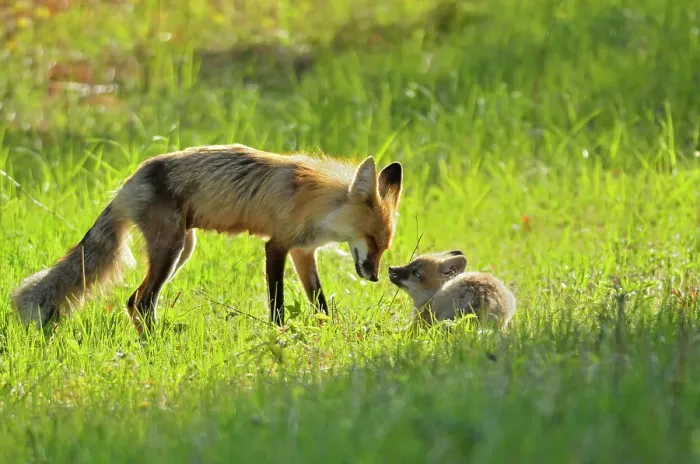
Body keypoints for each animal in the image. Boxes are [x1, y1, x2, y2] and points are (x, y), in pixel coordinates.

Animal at [12, 144, 403, 333]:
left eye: (384, 246)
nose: (374, 276)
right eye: (372, 240)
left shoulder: (303, 252)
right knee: (141, 301)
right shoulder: (277, 244)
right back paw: (156, 343)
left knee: (135, 301)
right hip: (170, 249)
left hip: (183, 248)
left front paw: (330, 329)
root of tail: (130, 181)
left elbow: (319, 300)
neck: (315, 201)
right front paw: (280, 334)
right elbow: (276, 301)